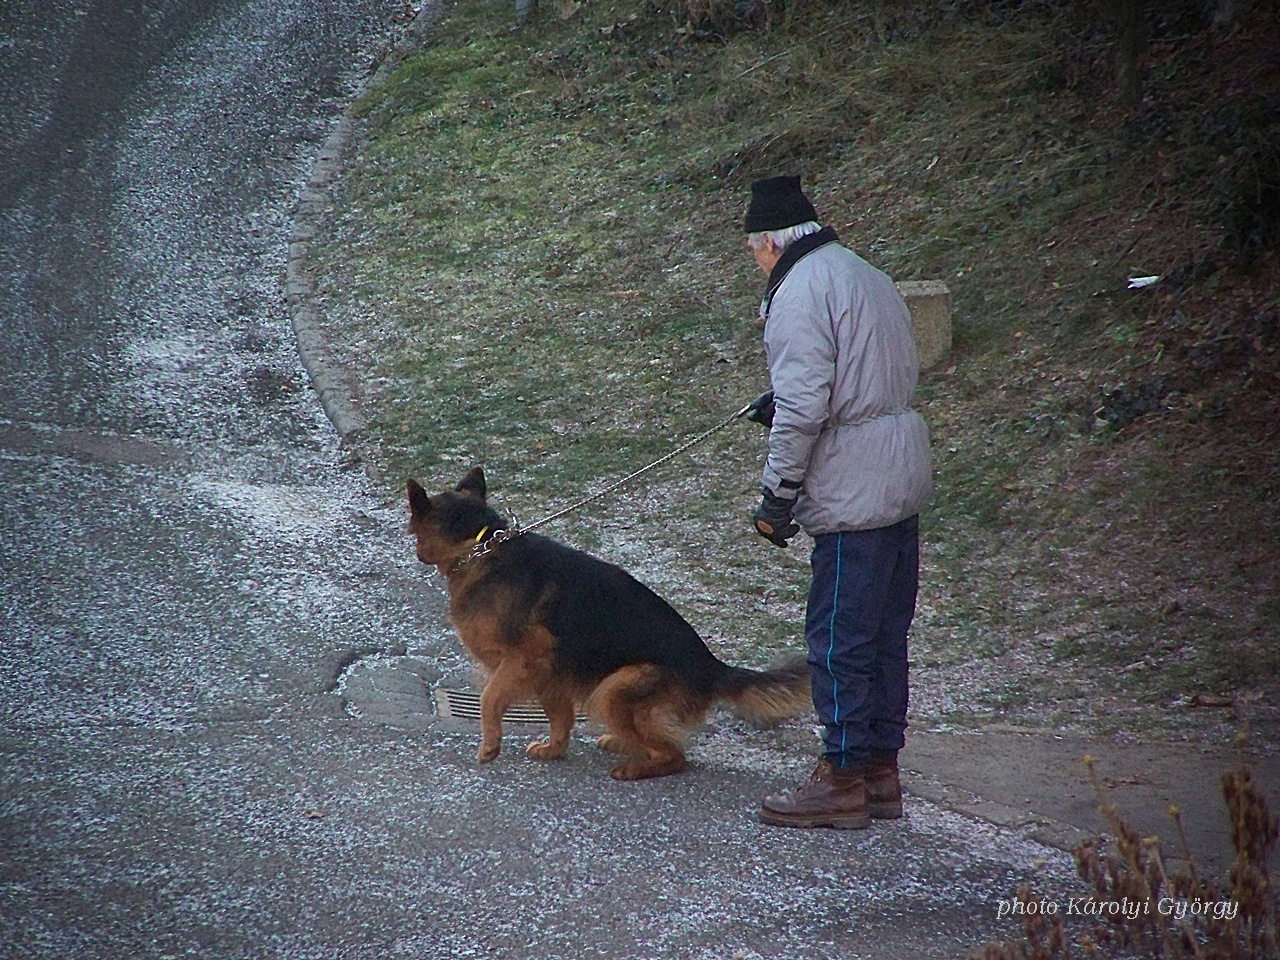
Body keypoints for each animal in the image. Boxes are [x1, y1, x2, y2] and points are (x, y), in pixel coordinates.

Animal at [409, 471, 808, 783]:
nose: (416, 553)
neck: (479, 545)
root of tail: (712, 667)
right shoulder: (551, 673)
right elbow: (560, 718)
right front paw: (554, 749)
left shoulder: (524, 661)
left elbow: (489, 699)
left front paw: (490, 745)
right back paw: (624, 743)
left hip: (613, 691)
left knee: (675, 756)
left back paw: (634, 767)